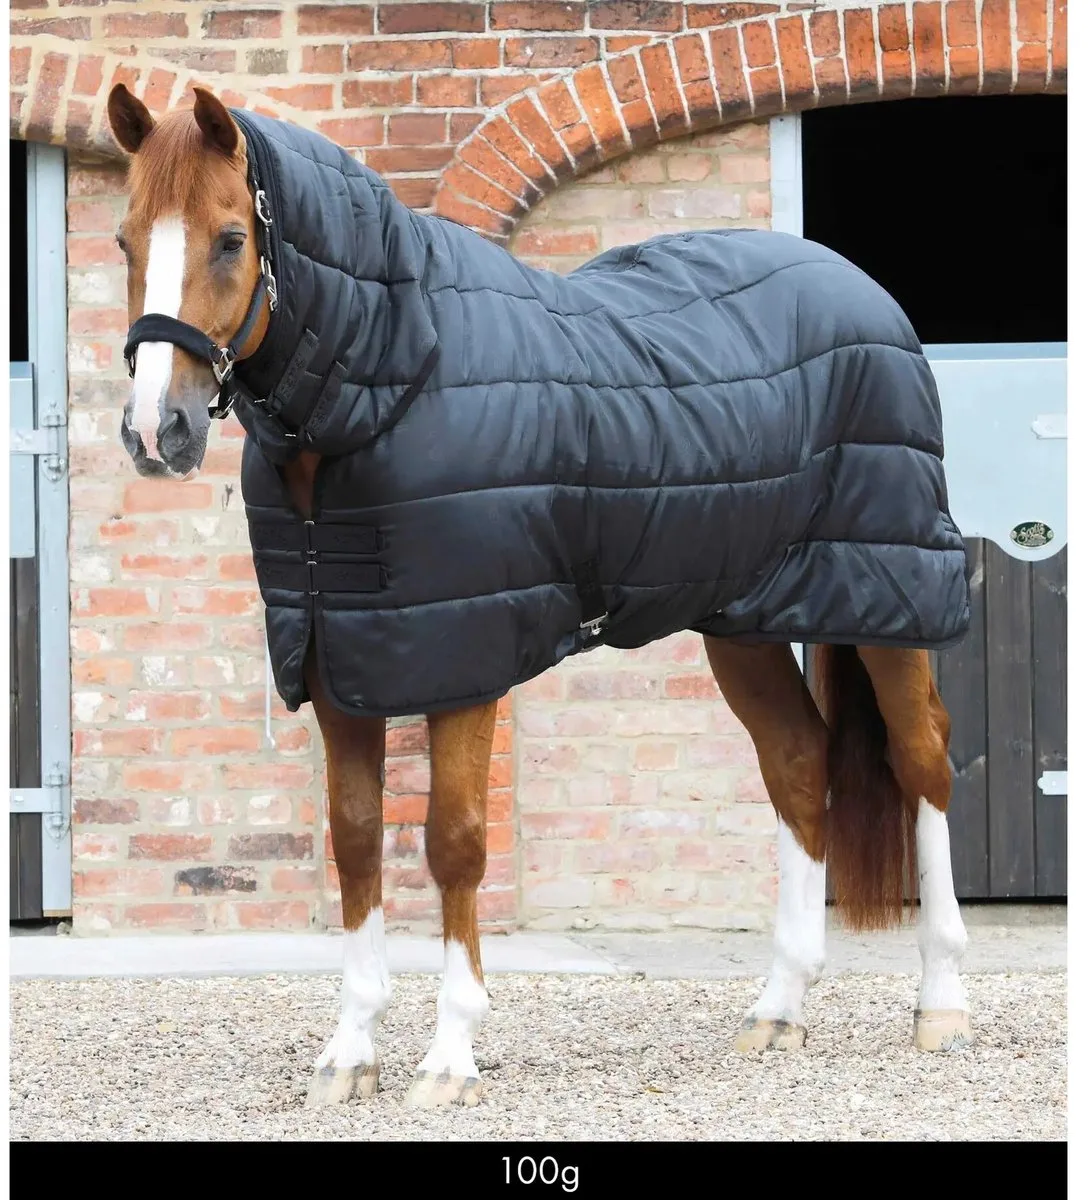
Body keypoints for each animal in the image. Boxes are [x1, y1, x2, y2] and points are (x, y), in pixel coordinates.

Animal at [106, 82, 973, 1109]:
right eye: (124, 239)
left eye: (231, 237)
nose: (156, 431)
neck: (393, 379)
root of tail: (861, 291)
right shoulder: (335, 661)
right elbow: (356, 840)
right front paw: (349, 1052)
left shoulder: (465, 664)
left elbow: (453, 841)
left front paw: (449, 1055)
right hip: (742, 619)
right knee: (800, 765)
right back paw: (778, 1008)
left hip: (891, 595)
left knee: (922, 763)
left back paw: (940, 1003)